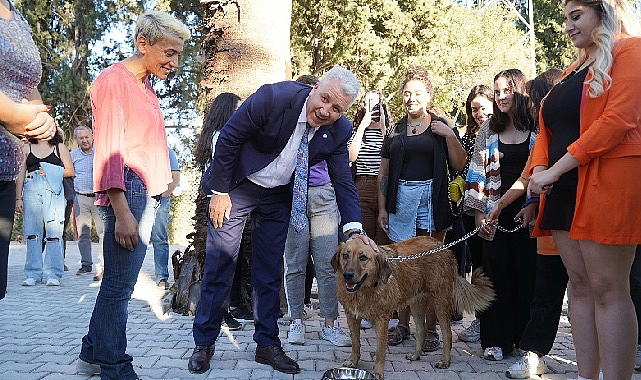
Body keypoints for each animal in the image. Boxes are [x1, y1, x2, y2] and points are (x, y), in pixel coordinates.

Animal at [332, 236, 492, 378]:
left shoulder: (382, 320)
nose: (347, 275)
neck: (365, 290)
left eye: (363, 257)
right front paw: (353, 361)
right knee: (421, 330)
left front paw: (377, 371)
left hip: (440, 302)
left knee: (447, 334)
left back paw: (445, 361)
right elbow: (355, 342)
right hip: (416, 304)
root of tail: (443, 247)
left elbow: (380, 350)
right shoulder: (351, 316)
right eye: (345, 256)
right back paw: (416, 355)